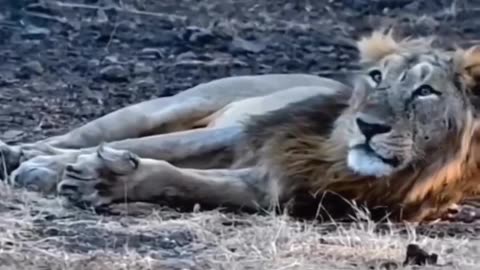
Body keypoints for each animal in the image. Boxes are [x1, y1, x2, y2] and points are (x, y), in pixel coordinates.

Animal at [2, 29, 480, 223]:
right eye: (378, 77)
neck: (334, 157)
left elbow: (178, 179)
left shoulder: (273, 186)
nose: (368, 126)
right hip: (165, 107)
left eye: (425, 92)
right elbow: (166, 149)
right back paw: (19, 152)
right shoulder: (245, 131)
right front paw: (46, 168)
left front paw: (101, 179)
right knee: (86, 134)